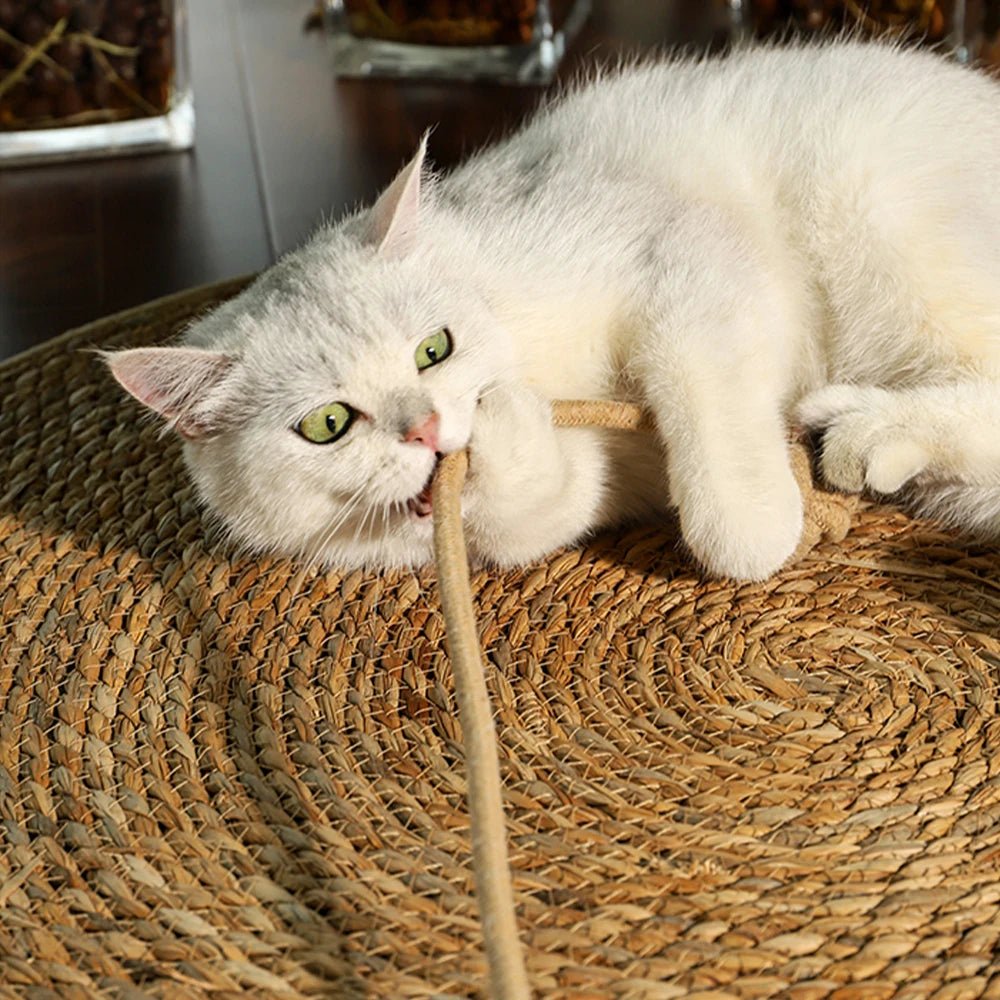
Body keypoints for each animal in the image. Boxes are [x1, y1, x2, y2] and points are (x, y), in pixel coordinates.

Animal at [105, 41, 1000, 580]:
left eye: (434, 349)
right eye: (327, 424)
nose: (427, 429)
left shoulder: (693, 258)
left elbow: (703, 408)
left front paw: (755, 523)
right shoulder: (578, 493)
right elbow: (542, 501)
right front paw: (510, 432)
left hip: (882, 219)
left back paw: (861, 433)